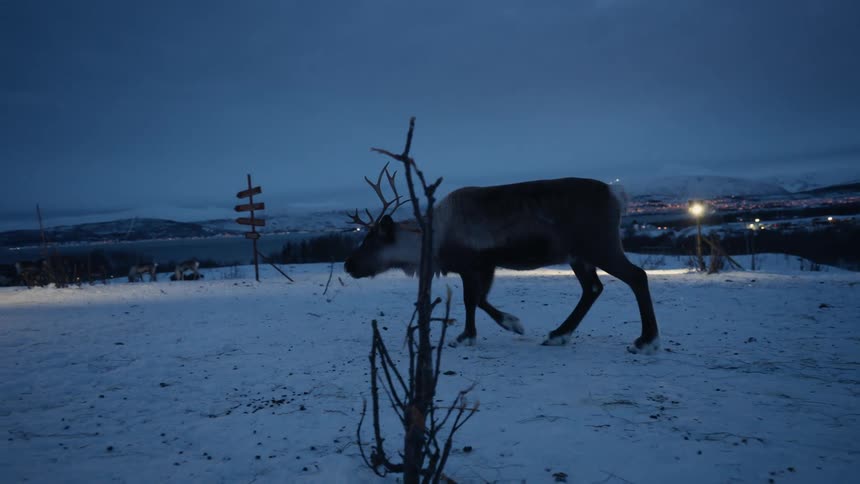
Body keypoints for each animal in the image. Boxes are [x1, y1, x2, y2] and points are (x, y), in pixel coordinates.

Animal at [343, 164, 660, 354]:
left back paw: (646, 340)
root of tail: (615, 193)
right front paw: (509, 323)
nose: (348, 265)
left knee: (636, 277)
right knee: (592, 288)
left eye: (371, 239)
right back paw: (558, 334)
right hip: (579, 256)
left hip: (600, 246)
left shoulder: (474, 265)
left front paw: (472, 334)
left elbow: (471, 300)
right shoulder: (487, 266)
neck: (432, 239)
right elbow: (480, 300)